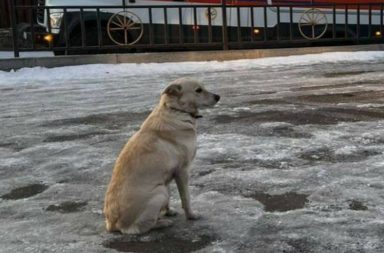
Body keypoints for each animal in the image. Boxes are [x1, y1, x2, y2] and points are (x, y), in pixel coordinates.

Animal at [103, 78, 220, 234]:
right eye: (198, 90)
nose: (218, 96)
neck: (176, 111)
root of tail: (112, 224)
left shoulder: (168, 174)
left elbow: (171, 198)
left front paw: (168, 211)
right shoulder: (182, 171)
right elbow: (186, 198)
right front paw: (191, 215)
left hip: (162, 188)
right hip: (159, 192)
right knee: (139, 228)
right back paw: (162, 223)